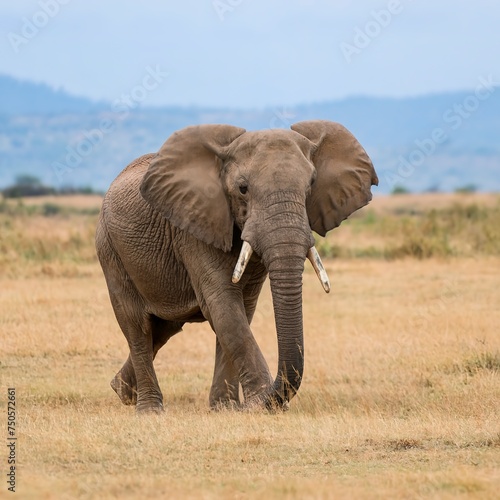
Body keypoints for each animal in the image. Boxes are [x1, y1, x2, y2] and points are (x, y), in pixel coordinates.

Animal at [94, 119, 376, 412]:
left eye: (311, 185)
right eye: (243, 188)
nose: (274, 401)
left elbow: (242, 311)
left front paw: (226, 408)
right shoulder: (195, 227)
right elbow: (224, 307)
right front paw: (259, 405)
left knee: (164, 328)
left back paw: (122, 391)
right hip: (110, 249)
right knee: (136, 325)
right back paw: (149, 410)